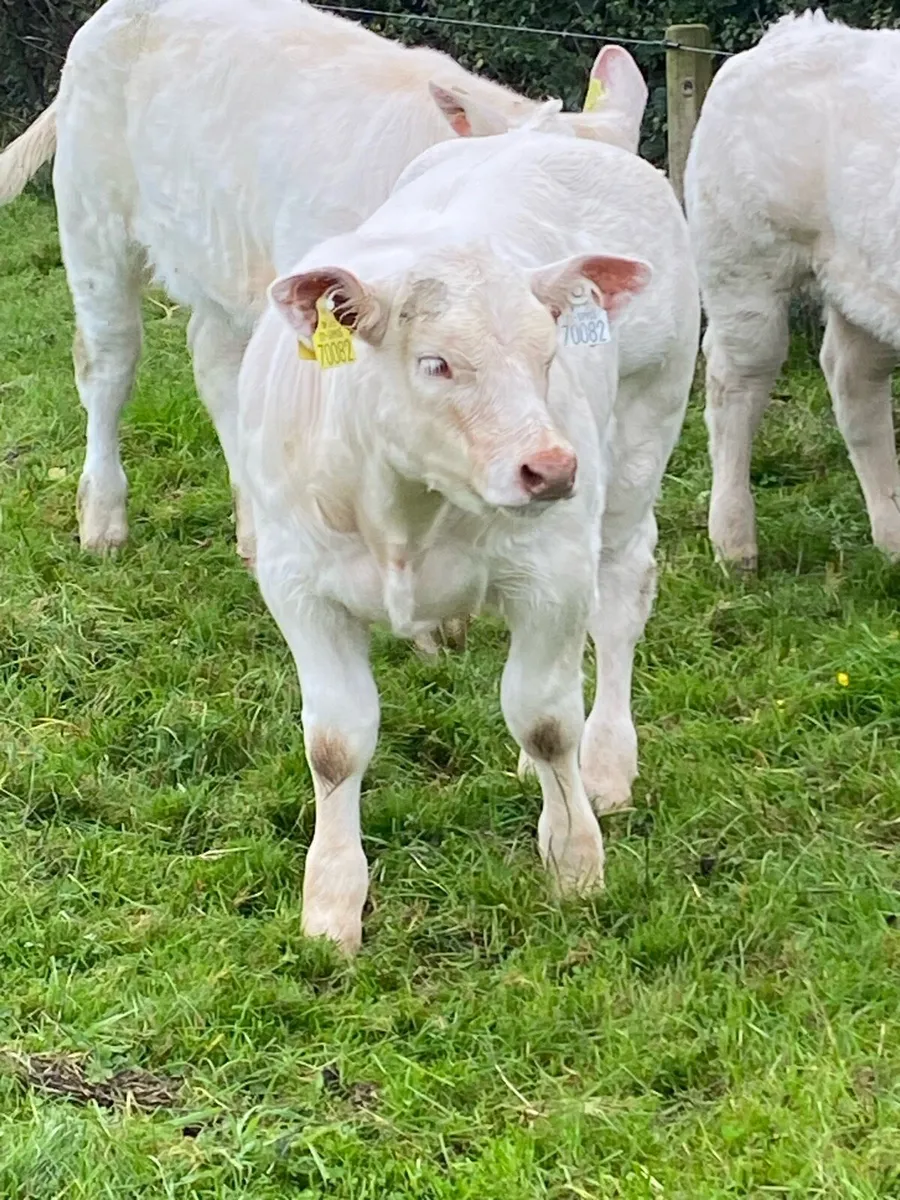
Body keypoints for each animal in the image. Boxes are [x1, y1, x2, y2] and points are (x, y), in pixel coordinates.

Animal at [238, 127, 700, 951]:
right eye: (437, 363)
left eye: (549, 356)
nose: (552, 468)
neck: (402, 509)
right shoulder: (299, 586)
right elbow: (335, 744)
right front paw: (332, 903)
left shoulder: (553, 572)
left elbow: (547, 722)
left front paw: (575, 862)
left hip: (643, 436)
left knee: (618, 605)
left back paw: (607, 763)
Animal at [685, 10, 900, 569]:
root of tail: (791, 30)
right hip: (741, 261)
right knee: (734, 382)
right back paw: (735, 546)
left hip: (862, 279)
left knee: (851, 377)